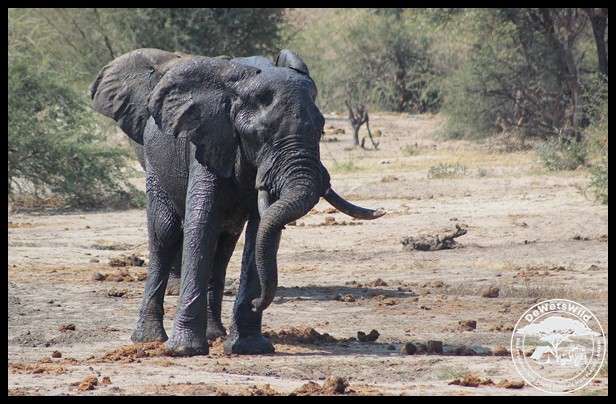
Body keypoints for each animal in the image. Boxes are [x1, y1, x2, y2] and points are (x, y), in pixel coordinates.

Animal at [90, 48, 385, 356]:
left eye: (322, 131)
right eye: (261, 135)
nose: (259, 302)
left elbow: (259, 231)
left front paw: (249, 347)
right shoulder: (207, 140)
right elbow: (201, 223)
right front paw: (185, 350)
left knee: (223, 247)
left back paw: (214, 334)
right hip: (155, 166)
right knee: (166, 232)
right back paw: (149, 339)